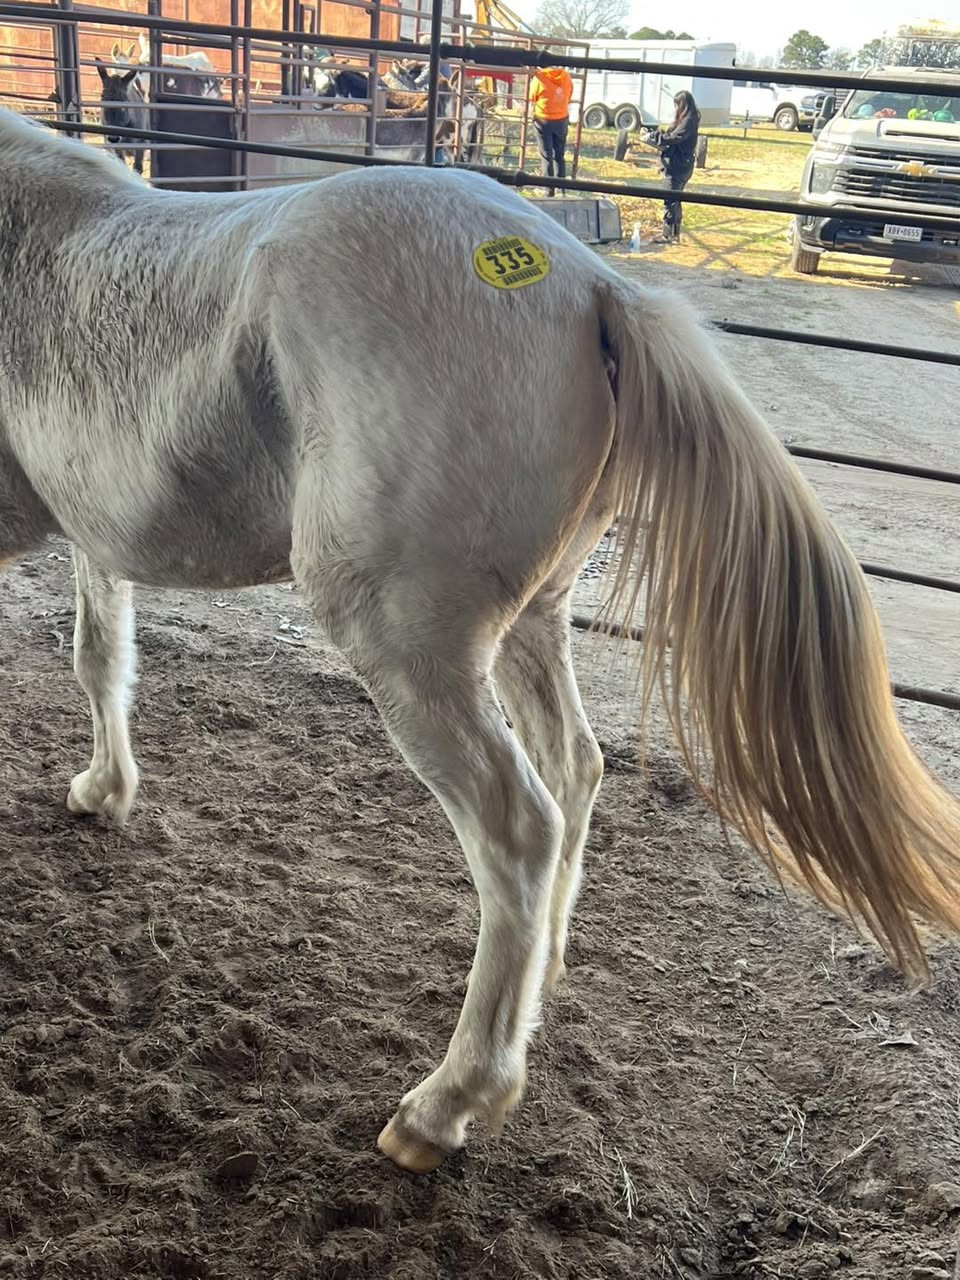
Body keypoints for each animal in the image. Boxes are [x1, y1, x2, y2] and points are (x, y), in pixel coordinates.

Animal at [1, 108, 958, 1177]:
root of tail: (593, 286)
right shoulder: (91, 535)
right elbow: (101, 656)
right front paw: (104, 790)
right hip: (532, 623)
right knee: (574, 767)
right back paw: (542, 980)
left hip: (411, 650)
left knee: (517, 827)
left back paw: (447, 1103)